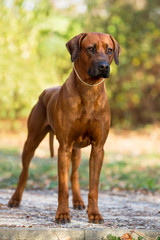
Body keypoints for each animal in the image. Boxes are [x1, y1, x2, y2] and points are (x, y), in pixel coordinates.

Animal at [7, 32, 120, 224]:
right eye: (91, 49)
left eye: (109, 50)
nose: (104, 66)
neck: (89, 91)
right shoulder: (64, 147)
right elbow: (62, 187)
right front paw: (62, 214)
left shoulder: (98, 149)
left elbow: (93, 187)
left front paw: (94, 213)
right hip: (32, 140)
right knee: (25, 171)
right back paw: (15, 199)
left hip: (76, 150)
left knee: (74, 175)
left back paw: (79, 201)